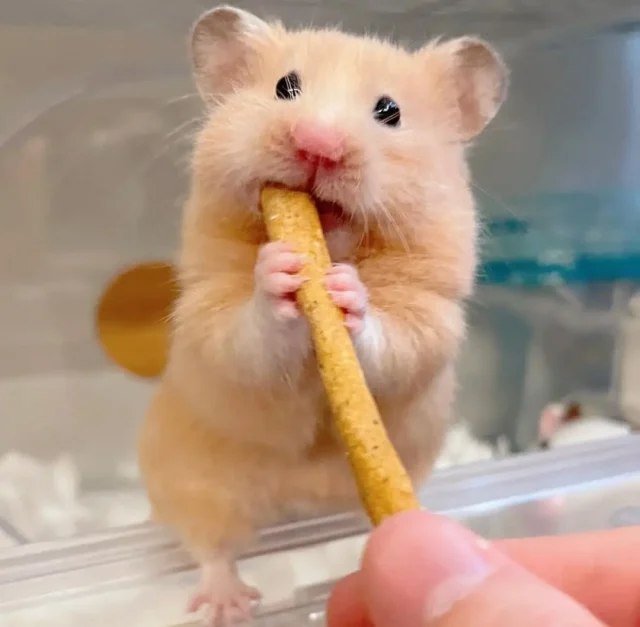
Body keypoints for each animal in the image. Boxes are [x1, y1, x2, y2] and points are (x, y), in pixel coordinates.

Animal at [138, 5, 507, 625]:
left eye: (390, 111)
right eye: (285, 87)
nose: (317, 144)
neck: (332, 244)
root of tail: (298, 514)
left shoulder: (431, 314)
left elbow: (396, 340)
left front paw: (347, 291)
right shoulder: (208, 308)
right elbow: (245, 332)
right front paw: (281, 270)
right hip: (195, 479)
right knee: (212, 546)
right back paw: (228, 604)